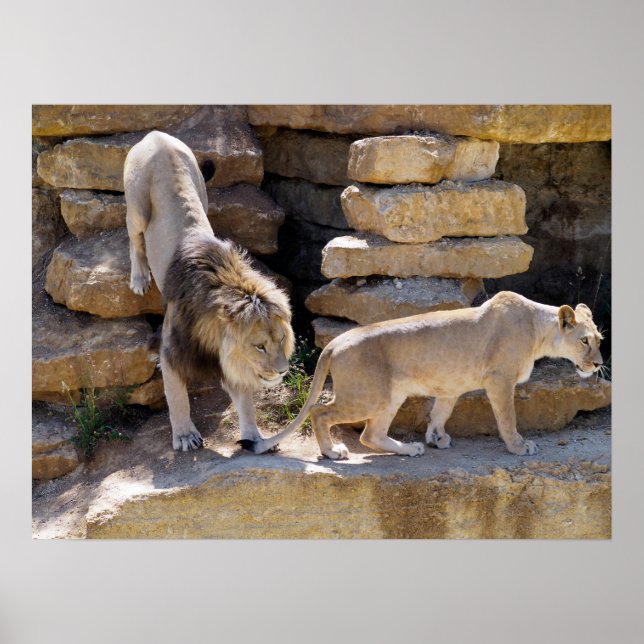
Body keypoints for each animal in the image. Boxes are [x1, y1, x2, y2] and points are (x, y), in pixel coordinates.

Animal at [124, 131, 295, 451]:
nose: (282, 371)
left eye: (280, 339)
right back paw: (139, 278)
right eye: (259, 346)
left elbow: (245, 402)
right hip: (137, 206)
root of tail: (156, 135)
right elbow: (177, 397)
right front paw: (184, 435)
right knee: (135, 240)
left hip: (201, 191)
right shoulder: (172, 350)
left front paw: (255, 438)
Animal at [240, 291, 603, 459]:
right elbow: (508, 418)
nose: (599, 364)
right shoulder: (500, 380)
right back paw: (332, 452)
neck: (539, 332)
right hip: (370, 396)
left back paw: (410, 448)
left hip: (390, 396)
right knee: (320, 412)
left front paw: (436, 437)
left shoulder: (450, 388)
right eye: (584, 340)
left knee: (369, 435)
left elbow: (439, 413)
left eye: (599, 340)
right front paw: (519, 446)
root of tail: (334, 342)